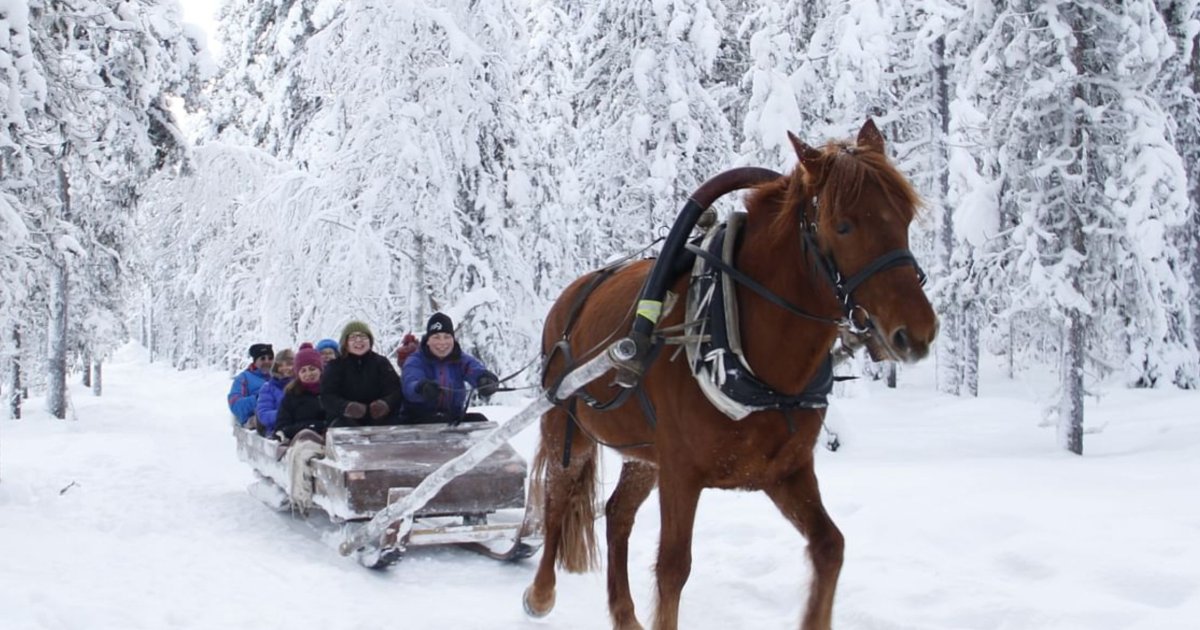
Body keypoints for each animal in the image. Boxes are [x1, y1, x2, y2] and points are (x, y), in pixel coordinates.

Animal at [520, 119, 940, 628]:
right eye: (843, 225)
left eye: (905, 218)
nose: (916, 332)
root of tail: (572, 294)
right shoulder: (681, 473)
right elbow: (673, 568)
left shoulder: (786, 472)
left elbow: (830, 547)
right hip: (567, 424)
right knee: (557, 495)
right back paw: (540, 593)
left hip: (643, 455)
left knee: (618, 513)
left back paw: (624, 613)